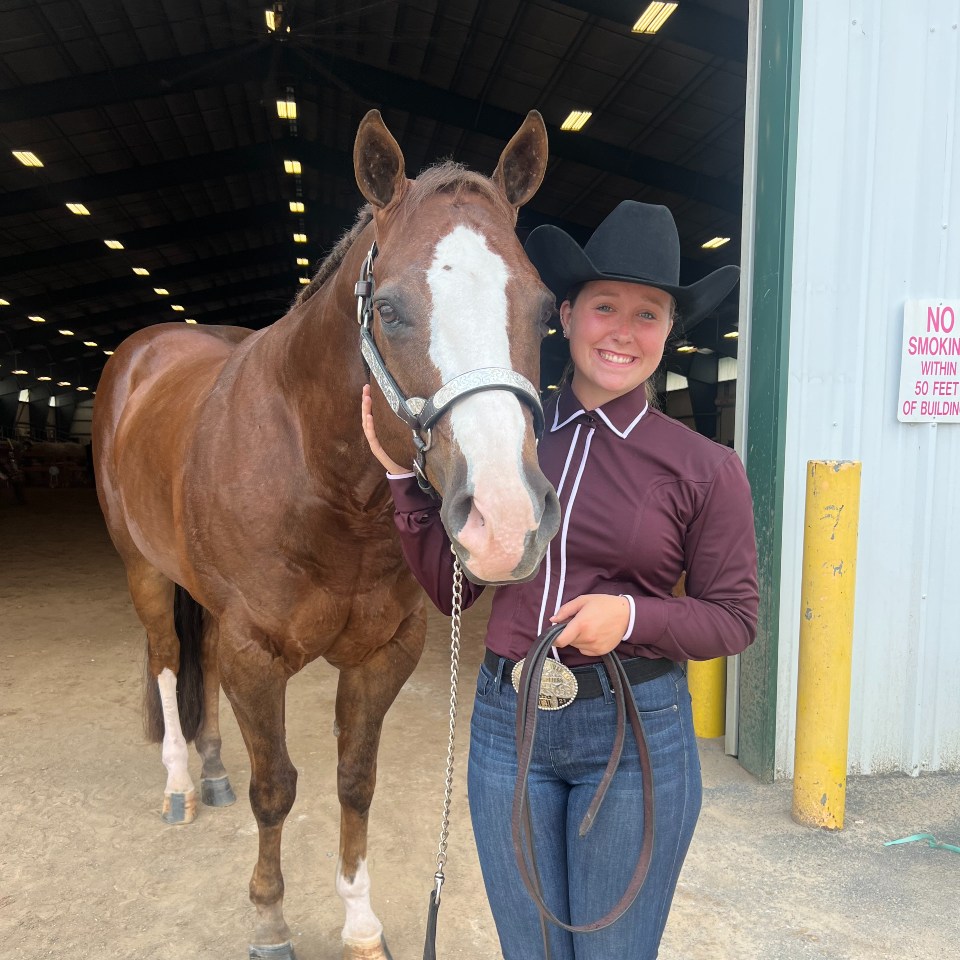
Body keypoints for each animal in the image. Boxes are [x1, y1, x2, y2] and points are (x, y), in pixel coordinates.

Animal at [94, 114, 560, 960]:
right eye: (393, 309)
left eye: (543, 309)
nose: (507, 519)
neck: (324, 478)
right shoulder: (256, 654)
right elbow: (276, 787)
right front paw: (270, 920)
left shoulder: (384, 653)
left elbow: (355, 781)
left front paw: (360, 923)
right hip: (144, 570)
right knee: (167, 660)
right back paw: (180, 784)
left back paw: (212, 771)